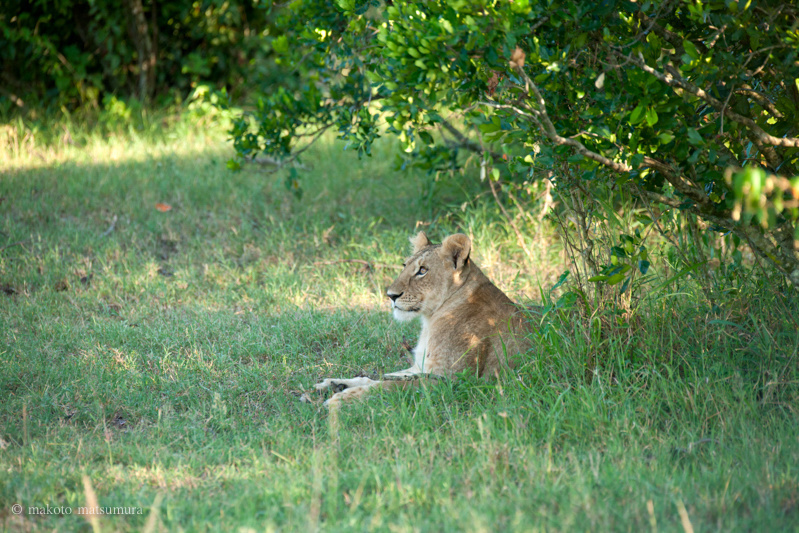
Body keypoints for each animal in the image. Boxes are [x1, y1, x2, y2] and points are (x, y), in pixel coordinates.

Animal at [314, 230, 532, 408]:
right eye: (405, 266)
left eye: (422, 271)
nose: (391, 295)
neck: (430, 319)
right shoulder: (421, 366)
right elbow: (377, 378)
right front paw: (333, 383)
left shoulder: (452, 381)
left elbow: (389, 386)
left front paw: (342, 398)